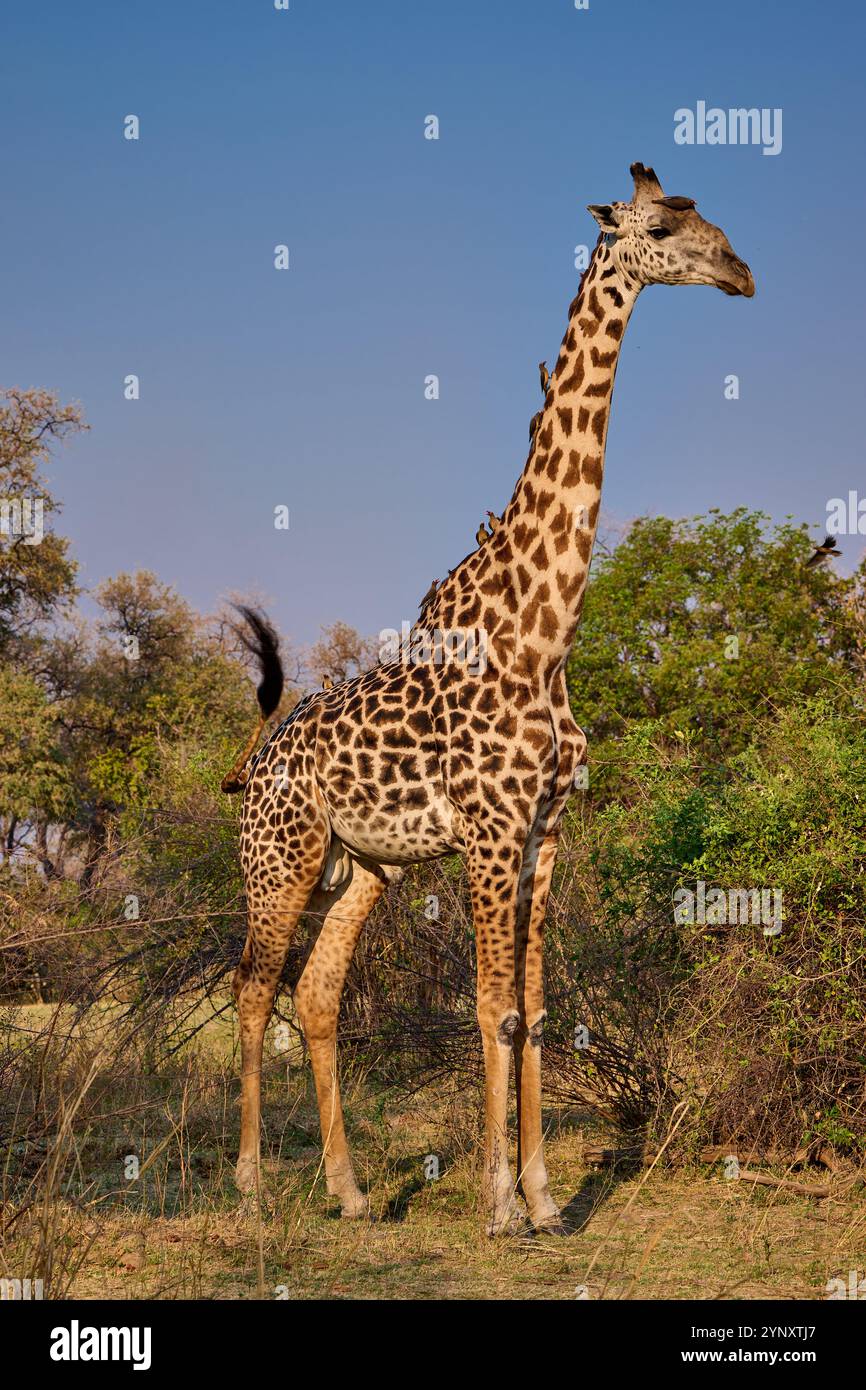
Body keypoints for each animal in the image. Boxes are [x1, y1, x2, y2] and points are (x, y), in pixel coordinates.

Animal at [225, 163, 754, 1235]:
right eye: (659, 226)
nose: (741, 270)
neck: (543, 631)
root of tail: (256, 759)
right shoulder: (488, 829)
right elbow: (491, 1007)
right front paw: (500, 1203)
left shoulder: (545, 831)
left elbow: (537, 1010)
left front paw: (546, 1199)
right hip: (279, 859)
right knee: (253, 991)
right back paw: (253, 1185)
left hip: (360, 867)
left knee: (316, 994)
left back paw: (349, 1192)